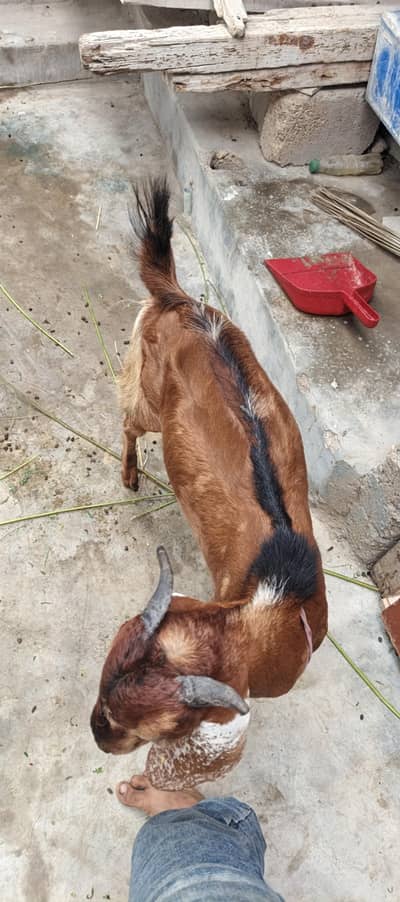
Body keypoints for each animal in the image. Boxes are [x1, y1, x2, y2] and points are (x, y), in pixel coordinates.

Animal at [91, 180, 328, 788]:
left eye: (147, 723)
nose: (96, 734)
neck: (275, 603)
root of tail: (182, 301)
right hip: (149, 395)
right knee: (129, 420)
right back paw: (129, 473)